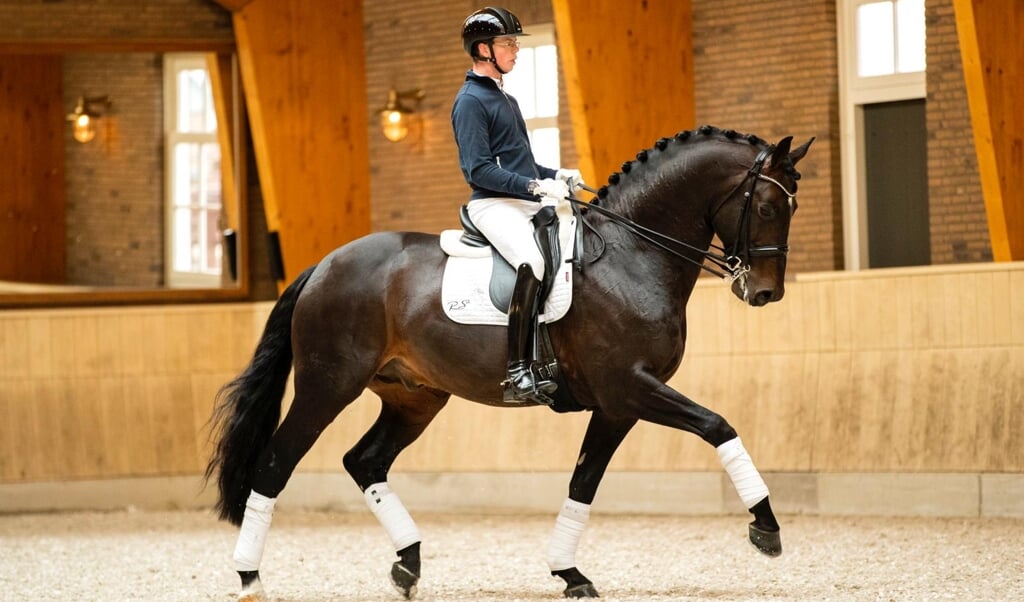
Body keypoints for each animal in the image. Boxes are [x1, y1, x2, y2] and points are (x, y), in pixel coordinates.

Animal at [205, 124, 815, 597]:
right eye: (766, 206)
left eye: (793, 207)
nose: (765, 293)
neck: (632, 255)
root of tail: (323, 265)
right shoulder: (630, 388)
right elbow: (718, 425)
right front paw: (766, 527)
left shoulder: (617, 405)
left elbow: (583, 482)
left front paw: (569, 573)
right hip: (327, 385)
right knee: (275, 464)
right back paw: (250, 577)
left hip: (414, 397)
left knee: (365, 461)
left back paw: (408, 564)